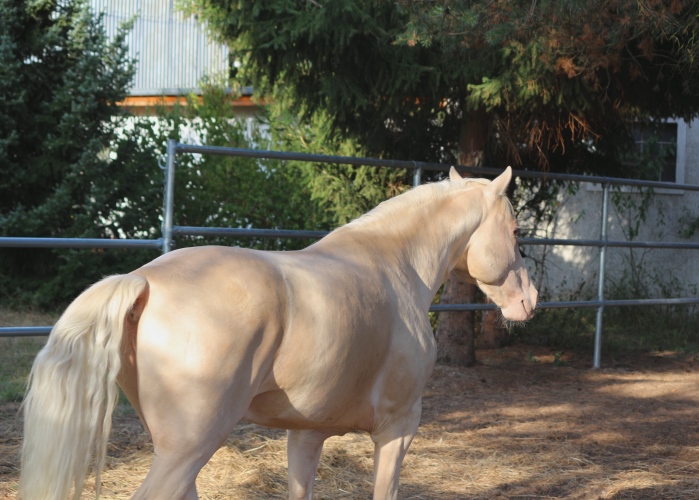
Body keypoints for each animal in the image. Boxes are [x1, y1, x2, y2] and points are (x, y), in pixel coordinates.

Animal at [20, 167, 536, 500]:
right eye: (515, 231)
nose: (529, 300)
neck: (395, 265)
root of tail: (144, 280)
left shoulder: (307, 434)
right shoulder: (398, 427)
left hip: (175, 447)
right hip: (188, 448)